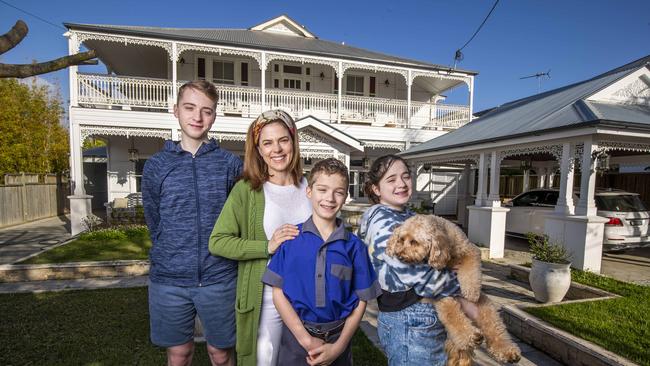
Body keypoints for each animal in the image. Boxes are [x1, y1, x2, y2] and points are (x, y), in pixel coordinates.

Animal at [388, 214, 520, 366]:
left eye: (414, 241)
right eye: (401, 240)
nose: (399, 256)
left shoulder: (470, 250)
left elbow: (470, 269)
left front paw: (471, 291)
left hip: (486, 309)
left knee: (495, 330)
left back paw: (508, 352)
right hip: (444, 301)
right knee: (455, 320)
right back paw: (472, 337)